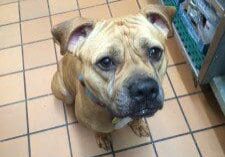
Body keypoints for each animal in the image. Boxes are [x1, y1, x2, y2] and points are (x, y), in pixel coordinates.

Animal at [51, 4, 176, 150]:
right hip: (64, 92)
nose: (145, 89)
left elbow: (137, 117)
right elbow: (98, 130)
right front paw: (102, 136)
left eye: (155, 52)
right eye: (105, 61)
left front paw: (138, 124)